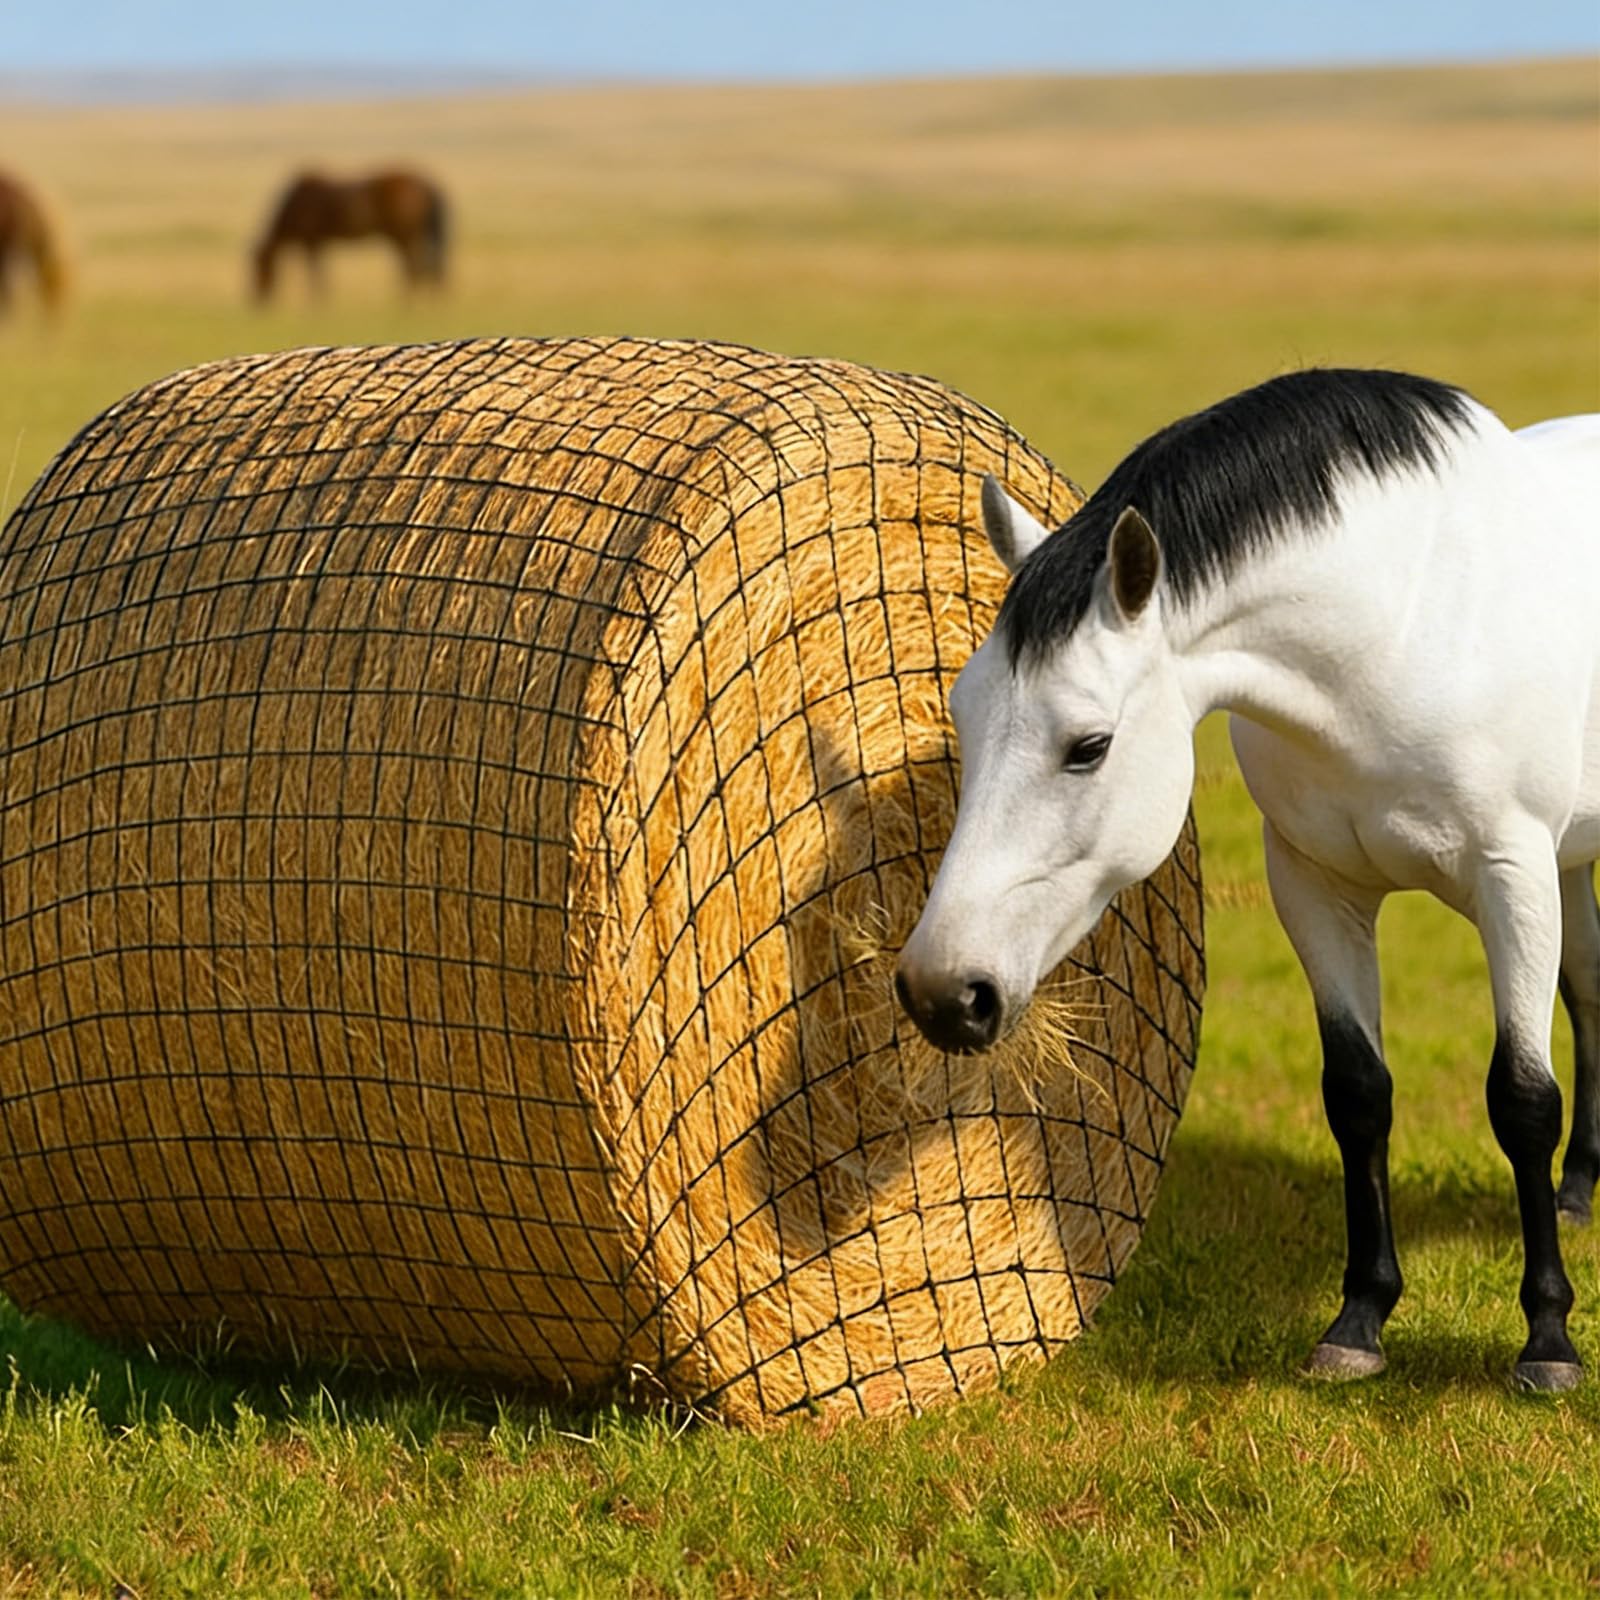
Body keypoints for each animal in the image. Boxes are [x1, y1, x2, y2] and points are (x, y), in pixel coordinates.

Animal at [251, 169, 448, 301]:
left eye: (261, 266)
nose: (256, 301)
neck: (294, 203)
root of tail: (428, 185)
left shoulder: (311, 241)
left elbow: (315, 275)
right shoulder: (319, 243)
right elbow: (321, 274)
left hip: (403, 236)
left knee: (415, 269)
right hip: (406, 237)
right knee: (422, 268)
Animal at [894, 368, 1599, 1392]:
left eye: (1089, 746)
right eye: (964, 715)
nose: (944, 992)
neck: (1402, 628)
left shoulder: (1514, 876)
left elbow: (1521, 1099)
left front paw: (1548, 1339)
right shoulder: (1313, 885)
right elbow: (1359, 1093)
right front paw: (1359, 1320)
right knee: (1589, 988)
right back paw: (1581, 1189)